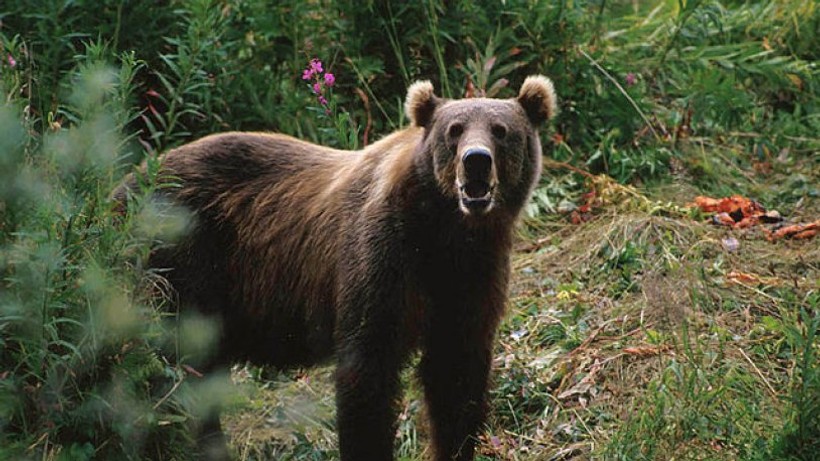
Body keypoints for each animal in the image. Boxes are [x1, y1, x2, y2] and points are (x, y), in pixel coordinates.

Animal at [115, 73, 556, 458]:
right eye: (455, 129)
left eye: (500, 130)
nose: (476, 161)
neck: (444, 230)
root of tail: (124, 184)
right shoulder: (382, 259)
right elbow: (367, 372)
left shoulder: (472, 275)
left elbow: (456, 375)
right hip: (179, 261)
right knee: (172, 371)